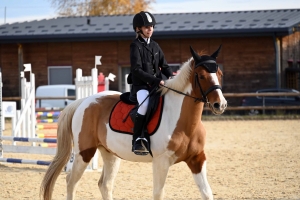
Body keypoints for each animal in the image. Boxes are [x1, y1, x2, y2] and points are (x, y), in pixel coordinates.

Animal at [39, 45, 227, 200]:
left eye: (219, 74)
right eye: (201, 76)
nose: (221, 104)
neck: (184, 122)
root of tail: (84, 101)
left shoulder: (197, 159)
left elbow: (207, 193)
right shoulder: (161, 162)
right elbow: (158, 194)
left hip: (110, 154)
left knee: (105, 185)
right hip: (84, 152)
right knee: (71, 181)